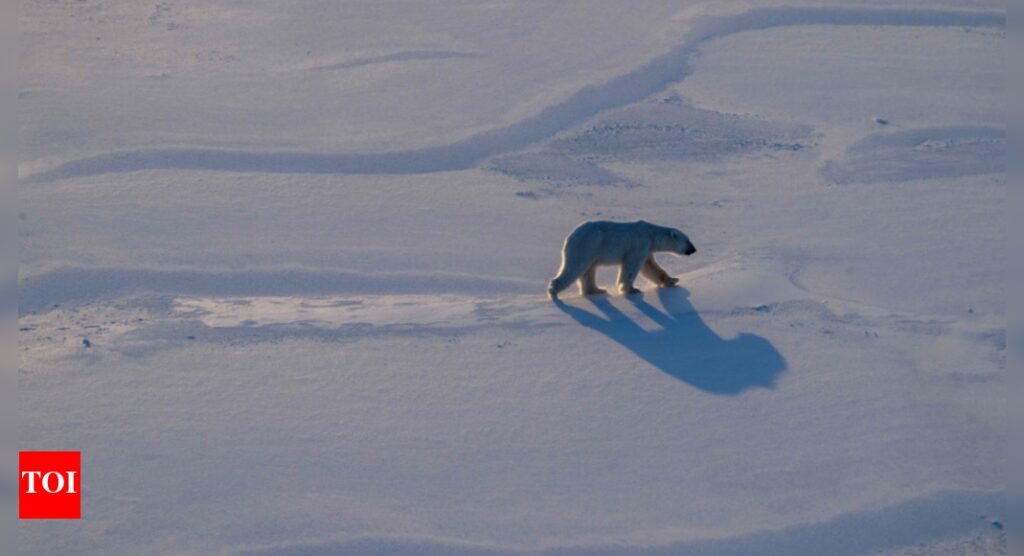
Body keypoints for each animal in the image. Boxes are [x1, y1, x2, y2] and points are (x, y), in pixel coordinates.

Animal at [548, 220, 696, 300]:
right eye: (687, 240)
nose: (694, 249)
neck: (651, 234)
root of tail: (569, 238)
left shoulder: (647, 249)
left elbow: (650, 267)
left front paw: (672, 280)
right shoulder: (638, 244)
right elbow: (631, 267)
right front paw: (632, 289)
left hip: (590, 251)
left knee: (588, 271)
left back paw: (597, 290)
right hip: (586, 246)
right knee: (575, 268)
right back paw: (554, 293)